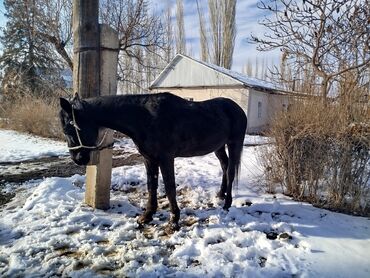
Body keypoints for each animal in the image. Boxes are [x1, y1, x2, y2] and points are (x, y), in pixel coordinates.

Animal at [59, 92, 247, 231]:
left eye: (69, 129)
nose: (78, 159)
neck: (145, 118)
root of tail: (238, 109)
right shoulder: (149, 159)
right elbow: (152, 185)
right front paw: (147, 216)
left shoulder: (166, 158)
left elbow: (170, 187)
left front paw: (174, 221)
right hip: (219, 147)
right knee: (224, 166)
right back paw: (220, 194)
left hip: (234, 143)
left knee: (230, 171)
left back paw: (227, 204)